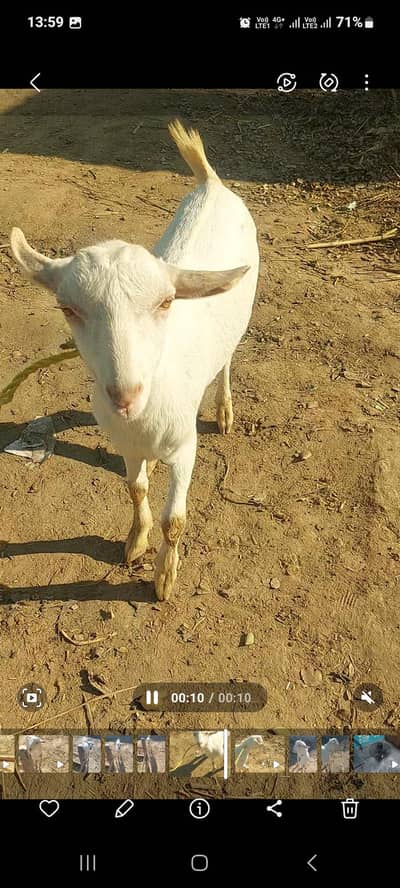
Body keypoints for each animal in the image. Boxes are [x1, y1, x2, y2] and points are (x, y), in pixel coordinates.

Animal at [10, 121, 259, 600]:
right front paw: (135, 541)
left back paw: (224, 411)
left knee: (226, 361)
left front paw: (164, 577)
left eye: (166, 302)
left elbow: (174, 520)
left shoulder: (184, 446)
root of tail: (211, 183)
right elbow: (134, 487)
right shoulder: (125, 444)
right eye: (67, 308)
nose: (124, 395)